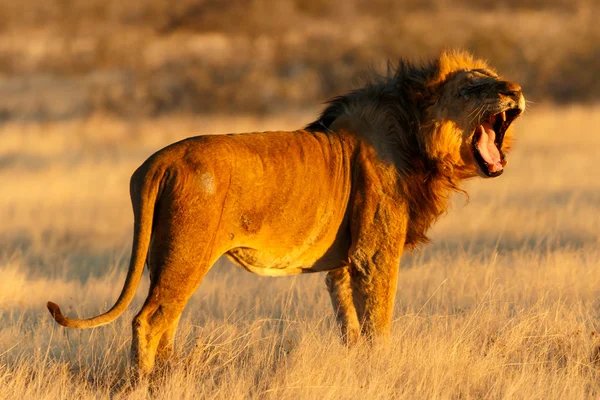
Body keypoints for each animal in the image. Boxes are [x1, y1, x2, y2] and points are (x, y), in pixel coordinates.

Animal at [47, 49, 524, 376]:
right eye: (474, 87)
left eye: (497, 80)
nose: (515, 91)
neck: (417, 137)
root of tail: (158, 162)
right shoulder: (373, 254)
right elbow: (379, 321)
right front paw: (382, 368)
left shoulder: (343, 265)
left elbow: (351, 324)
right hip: (187, 253)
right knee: (149, 320)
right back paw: (147, 385)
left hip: (166, 258)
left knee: (168, 319)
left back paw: (175, 374)